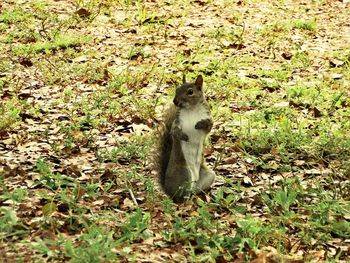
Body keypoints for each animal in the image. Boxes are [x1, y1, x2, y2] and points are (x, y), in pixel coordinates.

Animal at [157, 75, 216, 203]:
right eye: (177, 89)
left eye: (190, 92)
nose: (175, 101)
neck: (192, 109)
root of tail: (168, 191)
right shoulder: (177, 121)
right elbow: (174, 131)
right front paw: (182, 136)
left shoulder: (208, 117)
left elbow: (209, 126)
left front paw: (201, 124)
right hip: (184, 174)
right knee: (181, 197)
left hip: (208, 176)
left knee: (195, 189)